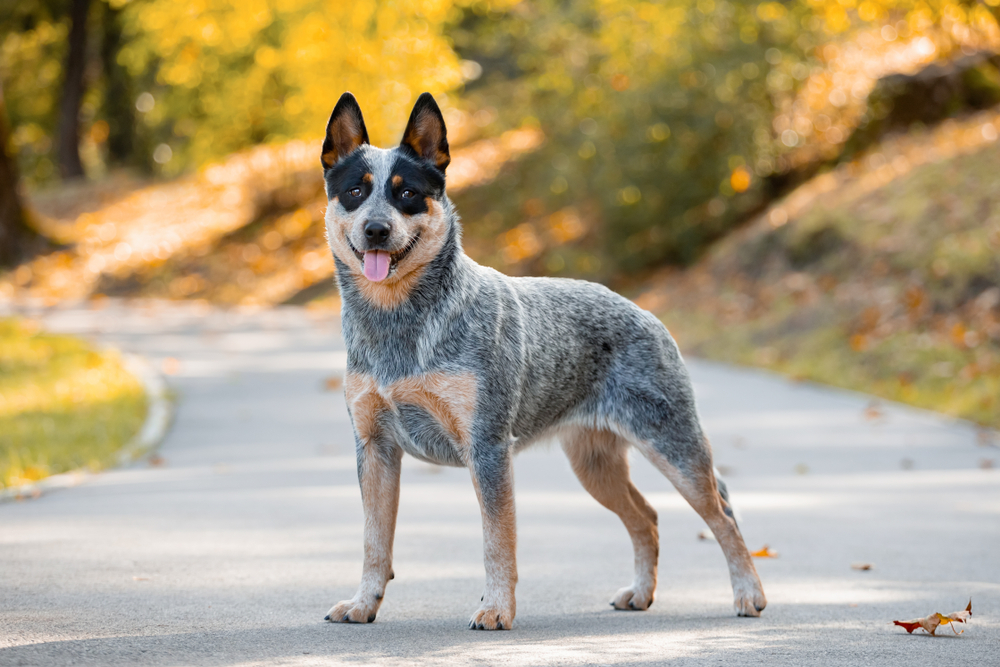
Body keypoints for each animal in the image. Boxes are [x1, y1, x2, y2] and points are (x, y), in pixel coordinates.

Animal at [318, 91, 764, 628]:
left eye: (407, 194)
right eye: (355, 191)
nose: (377, 230)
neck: (397, 327)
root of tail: (644, 311)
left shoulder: (488, 448)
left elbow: (497, 540)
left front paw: (496, 610)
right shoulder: (375, 448)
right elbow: (374, 541)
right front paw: (363, 603)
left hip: (672, 445)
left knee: (722, 512)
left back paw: (748, 594)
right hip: (593, 464)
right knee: (647, 517)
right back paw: (640, 593)